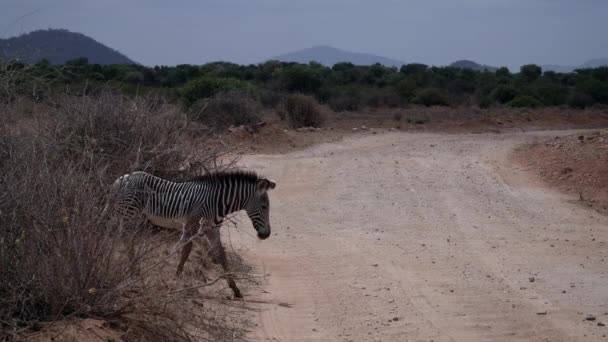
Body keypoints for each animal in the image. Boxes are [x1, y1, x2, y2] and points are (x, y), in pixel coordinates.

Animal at [110, 170, 278, 298]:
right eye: (264, 207)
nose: (266, 235)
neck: (217, 202)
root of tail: (121, 179)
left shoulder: (212, 229)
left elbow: (220, 255)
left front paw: (234, 288)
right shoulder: (192, 223)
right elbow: (186, 249)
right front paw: (177, 278)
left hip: (134, 216)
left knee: (128, 239)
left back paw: (133, 268)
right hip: (128, 213)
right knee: (123, 238)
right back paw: (127, 267)